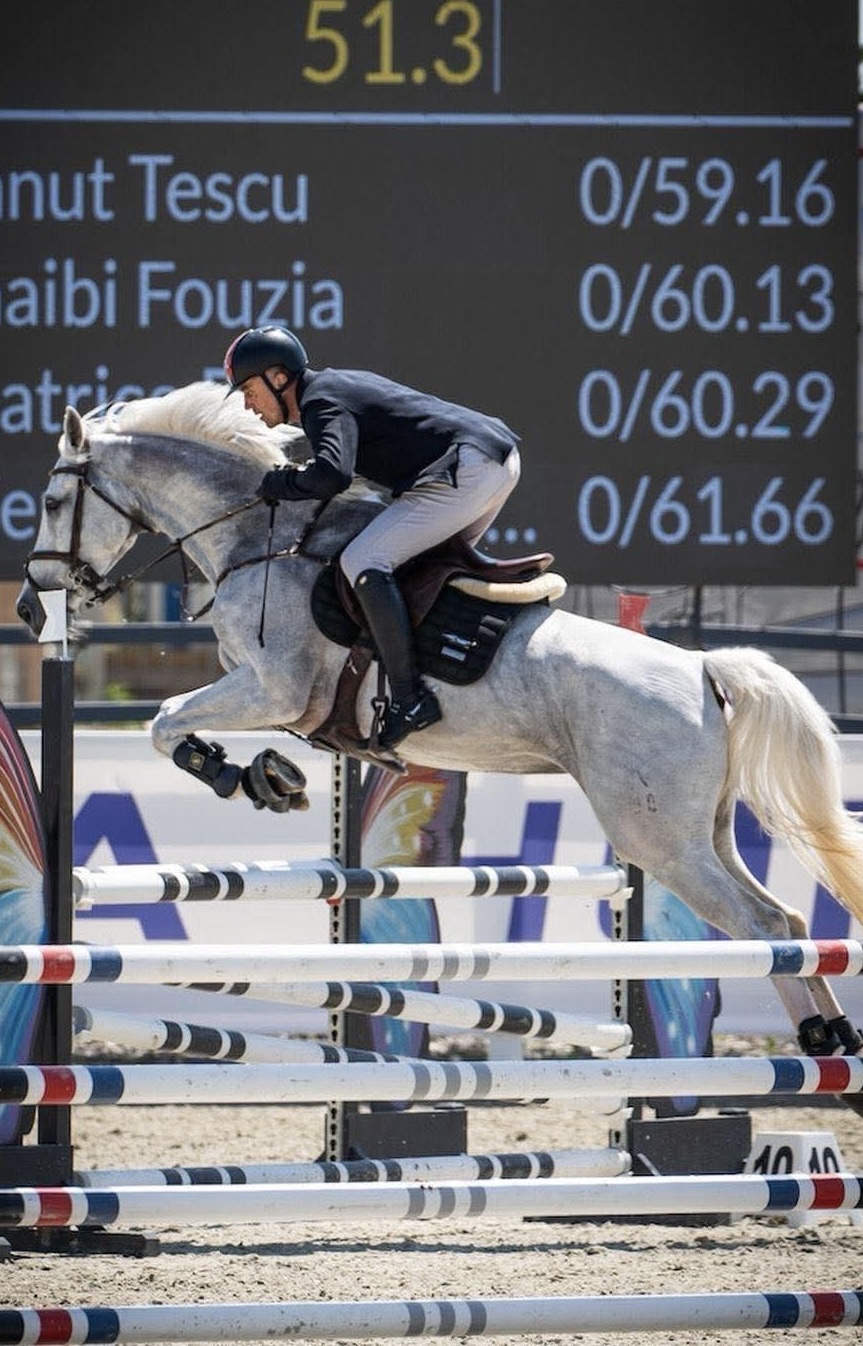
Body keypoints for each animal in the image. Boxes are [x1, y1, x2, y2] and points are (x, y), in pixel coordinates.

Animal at [15, 379, 863, 1102]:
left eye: (53, 500)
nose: (29, 607)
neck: (258, 536)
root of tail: (702, 669)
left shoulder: (276, 689)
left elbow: (164, 721)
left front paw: (243, 776)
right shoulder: (268, 695)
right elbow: (176, 720)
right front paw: (265, 775)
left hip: (657, 839)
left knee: (763, 927)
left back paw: (822, 1041)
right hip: (702, 832)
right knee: (786, 925)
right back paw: (828, 1038)